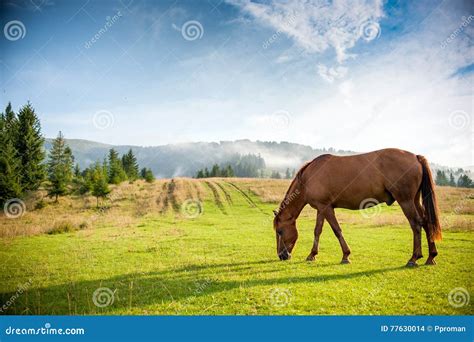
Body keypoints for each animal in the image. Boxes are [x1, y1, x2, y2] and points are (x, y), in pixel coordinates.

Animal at [272, 149, 442, 268]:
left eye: (280, 231)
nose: (282, 256)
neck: (308, 178)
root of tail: (416, 157)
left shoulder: (326, 208)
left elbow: (336, 230)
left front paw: (345, 256)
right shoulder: (321, 208)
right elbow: (317, 231)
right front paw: (312, 254)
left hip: (405, 201)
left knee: (416, 224)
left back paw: (414, 258)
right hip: (414, 200)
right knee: (426, 222)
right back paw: (431, 256)